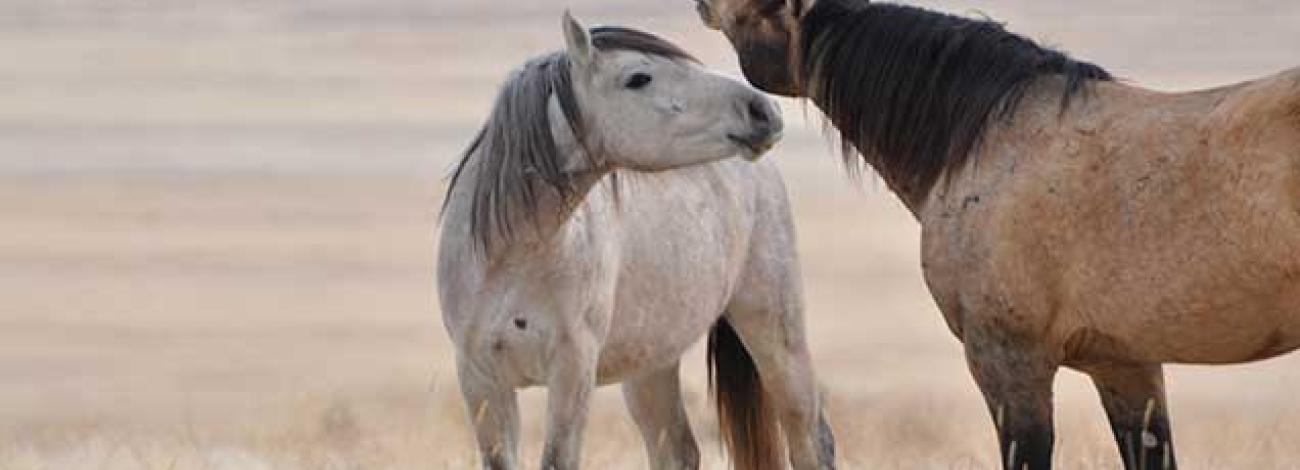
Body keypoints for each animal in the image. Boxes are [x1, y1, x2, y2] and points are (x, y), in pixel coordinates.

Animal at [439, 13, 832, 470]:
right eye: (638, 78)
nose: (763, 110)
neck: (513, 257)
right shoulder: (480, 377)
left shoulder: (572, 371)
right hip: (652, 361)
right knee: (677, 450)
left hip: (776, 335)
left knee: (810, 437)